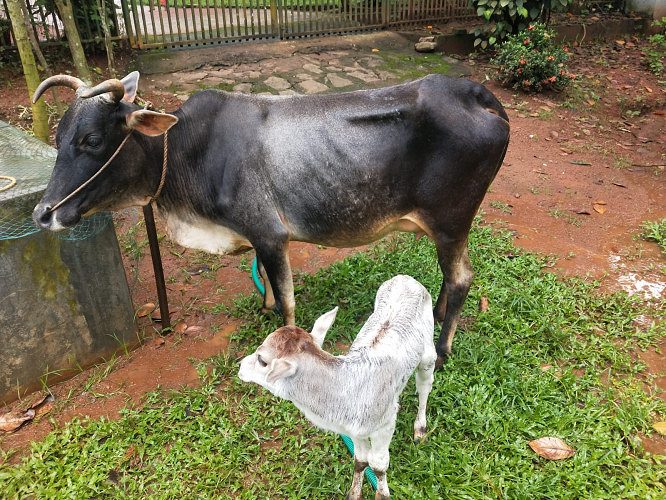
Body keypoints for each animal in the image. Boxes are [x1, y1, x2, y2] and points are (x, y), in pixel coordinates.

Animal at [31, 71, 510, 366]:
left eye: (92, 139)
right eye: (58, 135)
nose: (43, 213)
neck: (188, 149)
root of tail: (476, 94)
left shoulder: (271, 233)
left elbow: (288, 299)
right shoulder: (257, 237)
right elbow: (265, 281)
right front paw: (263, 310)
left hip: (451, 222)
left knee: (462, 278)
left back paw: (442, 349)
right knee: (451, 278)